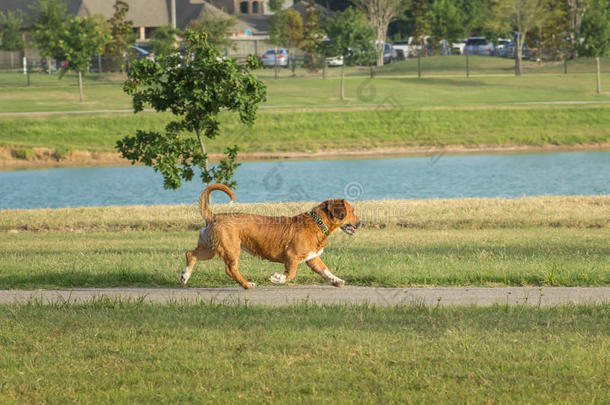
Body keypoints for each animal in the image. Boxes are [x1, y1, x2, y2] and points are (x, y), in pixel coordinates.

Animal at [179, 183, 360, 288]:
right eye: (352, 211)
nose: (361, 223)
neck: (317, 223)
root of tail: (214, 216)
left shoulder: (313, 258)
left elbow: (325, 270)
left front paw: (336, 281)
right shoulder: (292, 257)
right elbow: (290, 274)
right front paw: (276, 278)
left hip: (211, 249)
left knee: (190, 254)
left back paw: (185, 276)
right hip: (230, 249)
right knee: (230, 269)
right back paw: (247, 284)